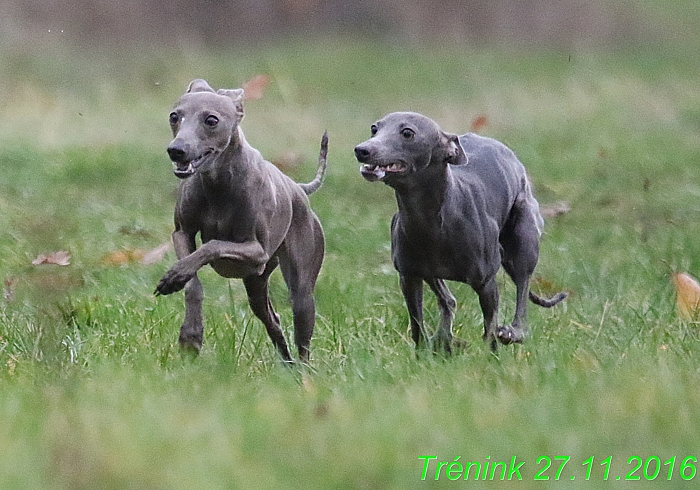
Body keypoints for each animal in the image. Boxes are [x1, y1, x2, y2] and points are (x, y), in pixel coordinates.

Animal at [352, 112, 568, 352]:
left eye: (407, 133)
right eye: (374, 128)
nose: (362, 150)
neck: (433, 220)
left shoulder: (486, 283)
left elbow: (490, 328)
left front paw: (491, 354)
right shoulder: (409, 276)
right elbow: (417, 325)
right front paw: (424, 352)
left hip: (524, 236)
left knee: (522, 287)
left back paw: (513, 331)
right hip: (430, 272)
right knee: (448, 300)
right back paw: (443, 338)